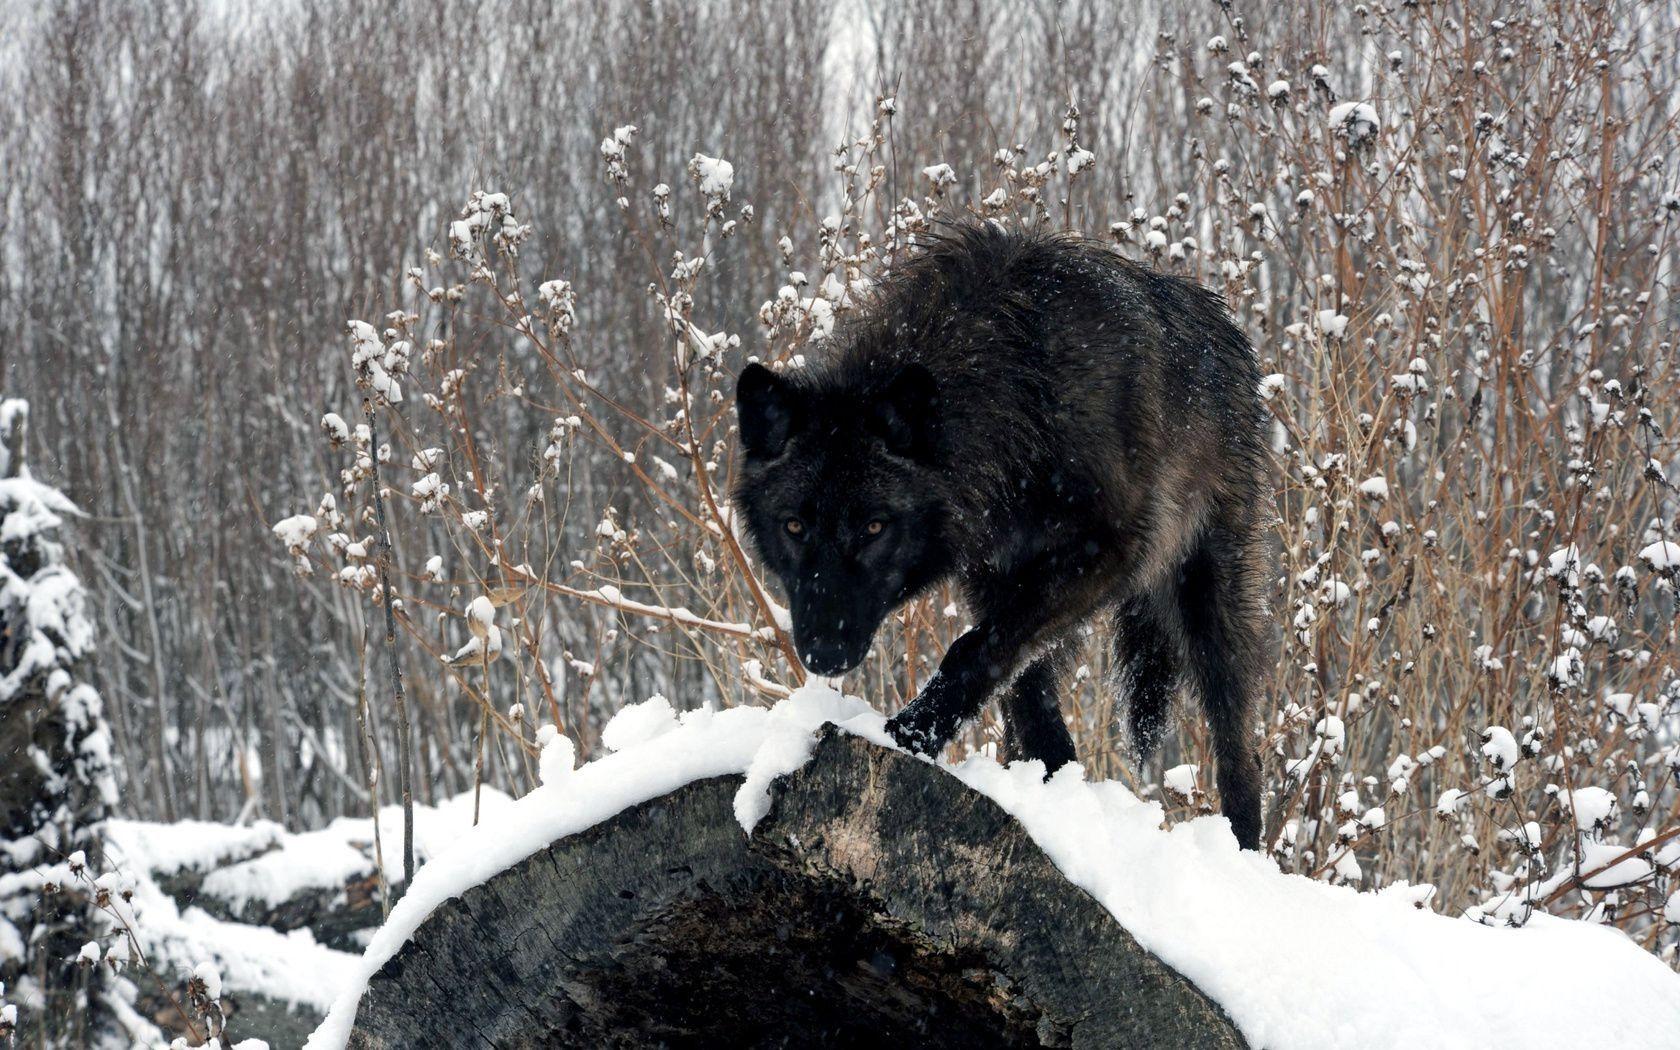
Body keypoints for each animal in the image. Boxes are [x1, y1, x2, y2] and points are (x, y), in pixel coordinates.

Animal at [732, 222, 1270, 850]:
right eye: (794, 526)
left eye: (874, 527)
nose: (824, 651)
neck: (1018, 386)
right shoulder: (994, 578)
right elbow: (1021, 690)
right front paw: (1049, 792)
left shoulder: (1107, 554)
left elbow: (974, 650)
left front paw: (910, 733)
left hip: (1207, 599)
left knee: (1237, 740)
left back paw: (1242, 849)